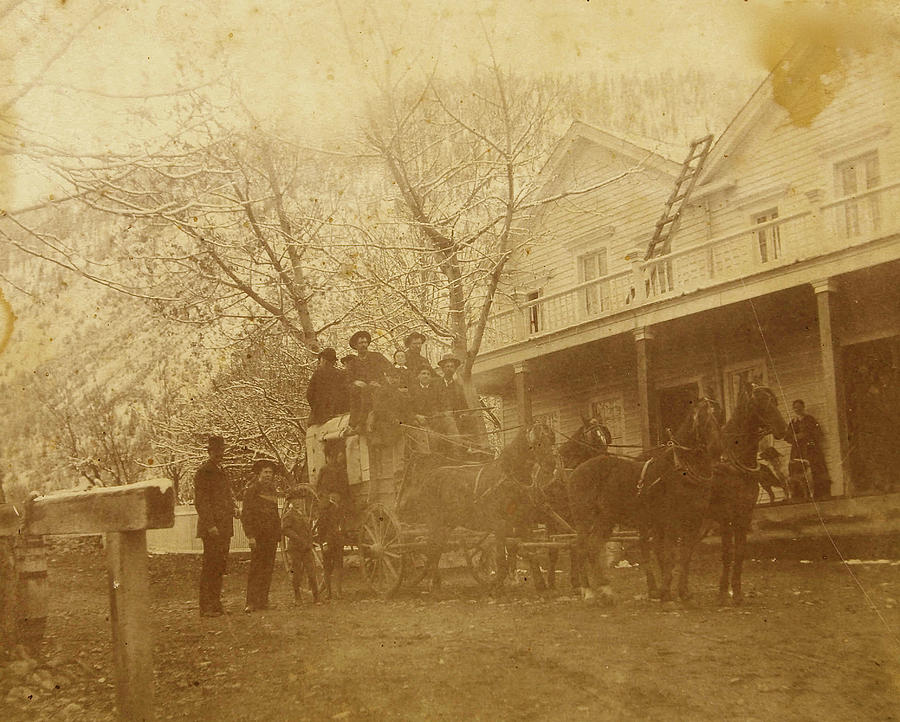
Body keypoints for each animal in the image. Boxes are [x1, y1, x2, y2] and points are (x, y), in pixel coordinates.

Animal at [400, 422, 560, 592]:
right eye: (538, 441)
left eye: (552, 439)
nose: (551, 465)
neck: (509, 477)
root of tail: (429, 476)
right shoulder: (499, 525)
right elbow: (501, 559)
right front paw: (496, 586)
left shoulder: (523, 522)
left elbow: (531, 552)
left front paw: (541, 585)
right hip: (434, 522)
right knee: (431, 548)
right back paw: (432, 583)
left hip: (447, 525)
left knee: (436, 548)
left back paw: (435, 583)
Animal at [568, 396, 724, 604]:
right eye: (700, 419)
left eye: (718, 417)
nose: (716, 449)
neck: (681, 469)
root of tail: (576, 471)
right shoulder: (669, 522)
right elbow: (668, 556)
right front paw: (666, 593)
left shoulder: (693, 522)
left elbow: (685, 556)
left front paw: (683, 592)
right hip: (585, 519)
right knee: (583, 547)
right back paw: (594, 590)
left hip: (606, 519)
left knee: (589, 547)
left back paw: (599, 589)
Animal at [712, 380, 788, 604]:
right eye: (760, 403)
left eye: (775, 401)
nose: (783, 429)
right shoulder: (725, 516)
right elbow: (727, 553)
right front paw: (723, 592)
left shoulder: (744, 514)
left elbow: (740, 552)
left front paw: (736, 593)